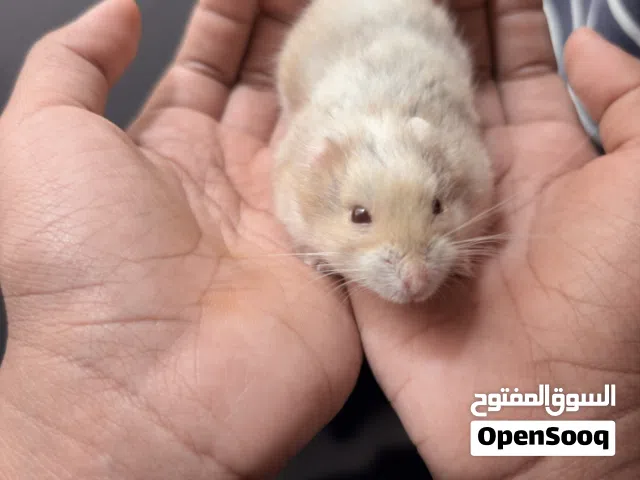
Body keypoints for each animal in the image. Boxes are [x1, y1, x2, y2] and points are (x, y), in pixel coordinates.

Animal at [272, 0, 495, 304]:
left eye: (438, 205)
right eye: (359, 215)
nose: (417, 282)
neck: (382, 113)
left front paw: (463, 266)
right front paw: (317, 262)